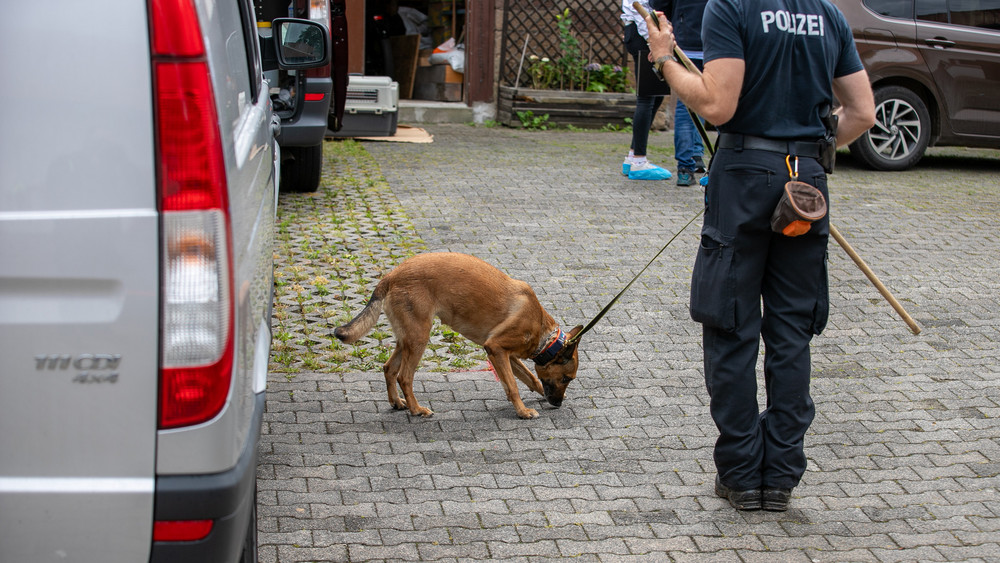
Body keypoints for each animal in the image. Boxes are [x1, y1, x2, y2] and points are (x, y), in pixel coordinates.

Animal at [336, 252, 584, 418]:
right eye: (566, 379)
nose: (558, 404)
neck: (544, 336)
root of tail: (391, 276)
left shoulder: (505, 355)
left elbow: (528, 377)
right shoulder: (496, 348)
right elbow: (514, 385)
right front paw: (523, 411)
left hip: (406, 339)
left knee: (389, 368)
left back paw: (397, 402)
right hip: (418, 339)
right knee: (404, 376)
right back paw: (417, 409)